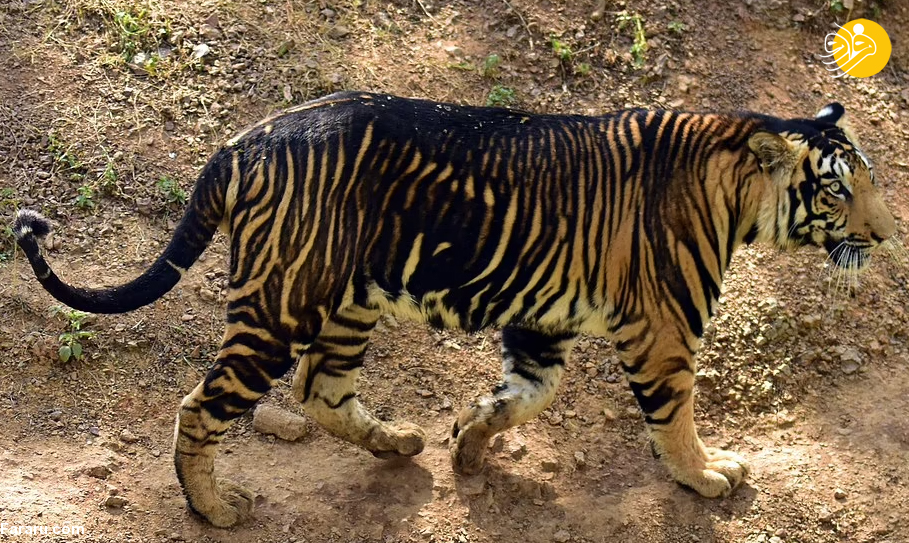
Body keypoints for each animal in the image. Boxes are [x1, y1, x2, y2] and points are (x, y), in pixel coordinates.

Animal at [12, 92, 892, 528]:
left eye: (870, 181)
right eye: (838, 190)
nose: (885, 235)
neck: (737, 191)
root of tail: (244, 138)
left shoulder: (542, 321)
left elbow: (527, 393)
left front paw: (467, 440)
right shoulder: (663, 332)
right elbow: (674, 416)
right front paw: (706, 474)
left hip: (347, 300)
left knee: (321, 390)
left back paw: (399, 441)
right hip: (281, 303)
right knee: (202, 404)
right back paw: (215, 507)